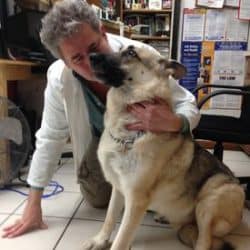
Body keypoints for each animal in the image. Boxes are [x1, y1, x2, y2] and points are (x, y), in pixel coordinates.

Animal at [81, 45, 244, 250]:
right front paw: (100, 240)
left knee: (204, 240)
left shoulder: (136, 200)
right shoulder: (118, 188)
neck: (128, 133)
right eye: (119, 49)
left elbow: (121, 239)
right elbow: (109, 218)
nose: (91, 56)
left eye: (131, 53)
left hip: (211, 197)